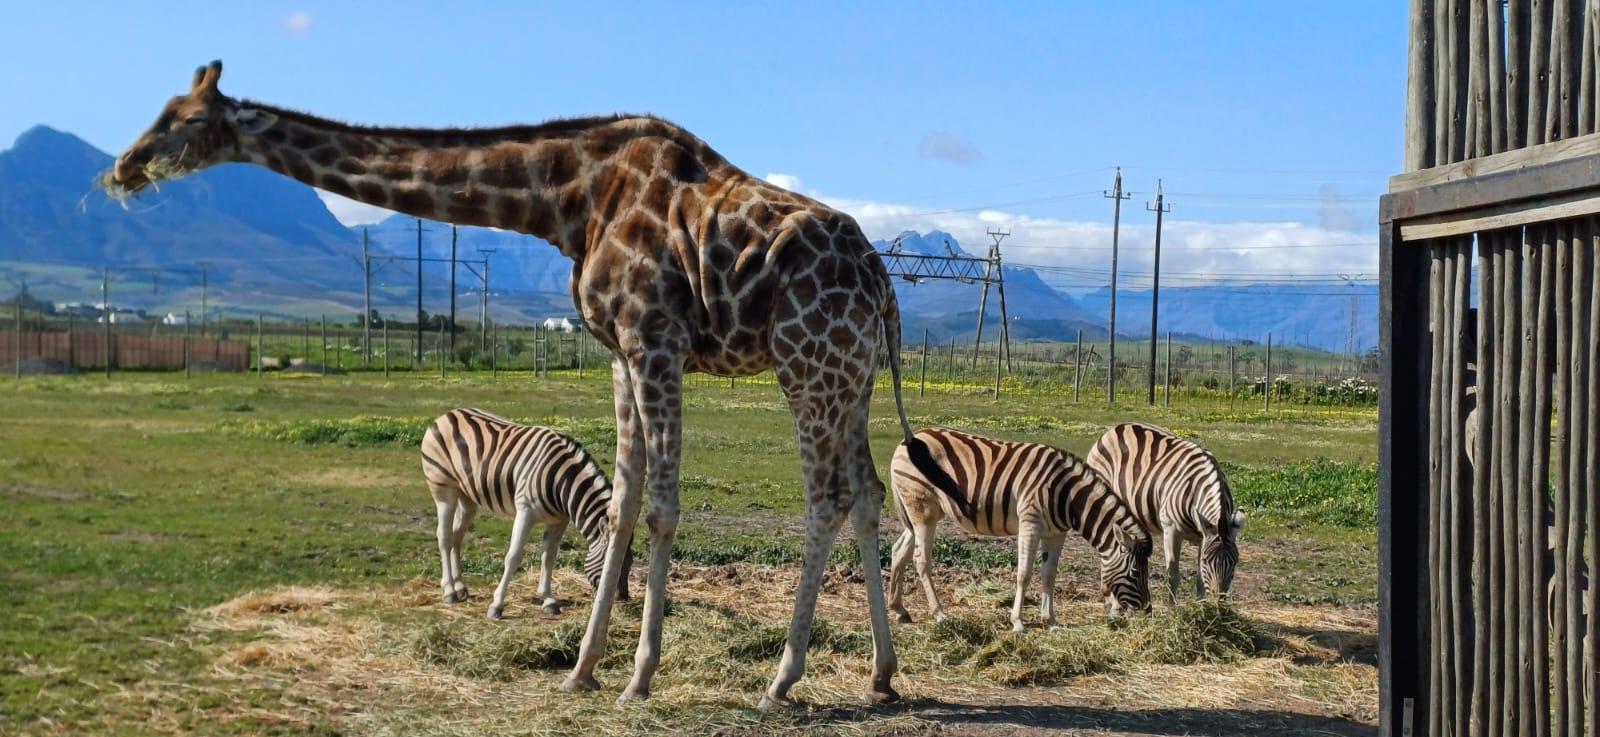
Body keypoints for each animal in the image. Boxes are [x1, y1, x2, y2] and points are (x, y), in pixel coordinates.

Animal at [107, 61, 924, 707]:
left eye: (185, 119)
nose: (122, 167)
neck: (565, 198)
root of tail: (883, 281)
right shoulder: (618, 352)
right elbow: (623, 500)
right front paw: (583, 668)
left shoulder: (654, 337)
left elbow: (662, 505)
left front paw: (639, 675)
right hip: (850, 378)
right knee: (865, 494)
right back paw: (881, 674)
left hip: (804, 364)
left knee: (826, 497)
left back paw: (782, 678)